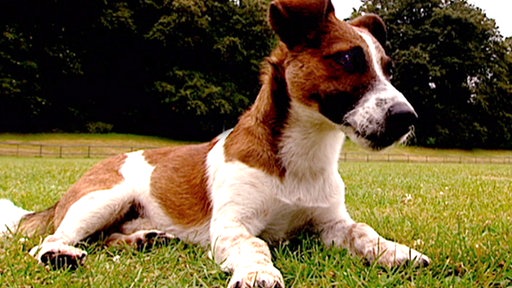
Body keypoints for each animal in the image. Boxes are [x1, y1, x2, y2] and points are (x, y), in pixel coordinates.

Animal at [1, 0, 428, 286]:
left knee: (107, 240)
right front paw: (257, 272)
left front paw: (396, 251)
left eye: (388, 69)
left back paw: (142, 239)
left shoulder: (331, 223)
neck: (300, 161)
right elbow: (256, 246)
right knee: (49, 241)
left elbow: (363, 232)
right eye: (347, 60)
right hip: (103, 199)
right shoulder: (231, 226)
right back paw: (60, 255)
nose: (408, 118)